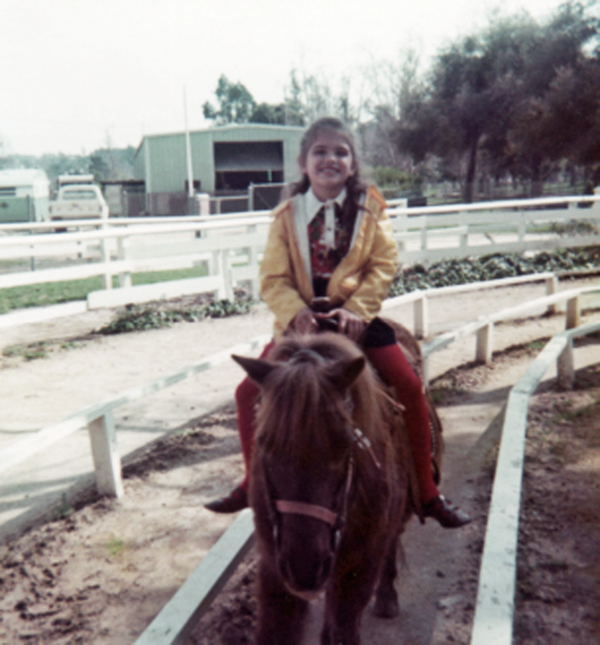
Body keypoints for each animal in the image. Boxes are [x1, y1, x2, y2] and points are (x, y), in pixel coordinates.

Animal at [232, 330, 442, 640]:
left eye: (345, 443)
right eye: (263, 441)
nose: (304, 565)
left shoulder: (358, 565)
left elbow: (341, 629)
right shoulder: (274, 568)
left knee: (392, 544)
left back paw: (387, 596)